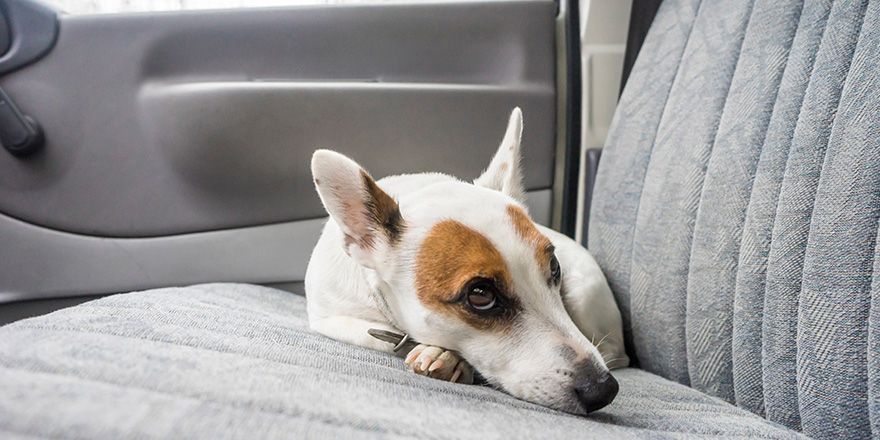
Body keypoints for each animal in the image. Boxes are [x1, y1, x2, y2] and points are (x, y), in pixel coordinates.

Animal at [306, 108, 628, 414]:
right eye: (480, 295)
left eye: (555, 267)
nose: (602, 389)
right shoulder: (329, 318)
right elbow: (376, 336)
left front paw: (448, 357)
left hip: (585, 296)